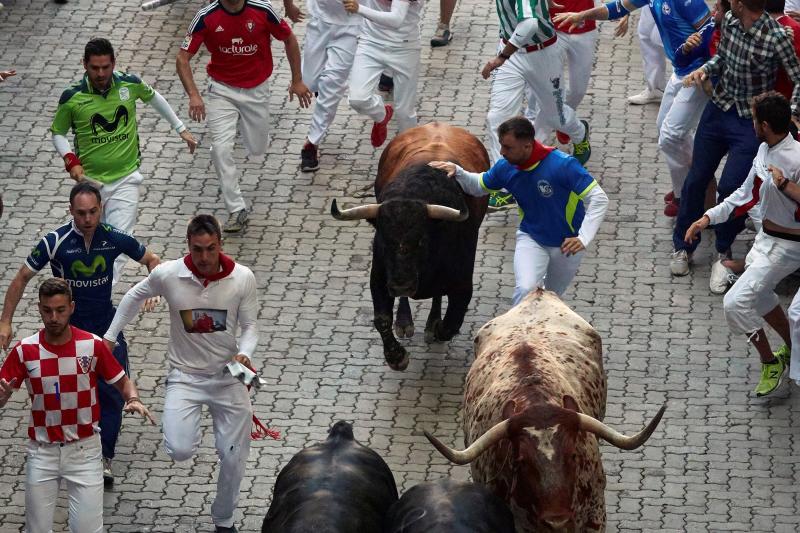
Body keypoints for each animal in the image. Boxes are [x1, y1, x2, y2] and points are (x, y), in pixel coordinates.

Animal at [330, 121, 488, 370]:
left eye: (421, 240)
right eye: (383, 240)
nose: (401, 284)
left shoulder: (463, 285)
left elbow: (450, 324)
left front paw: (435, 327)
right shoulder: (379, 277)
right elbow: (382, 319)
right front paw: (396, 357)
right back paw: (404, 321)